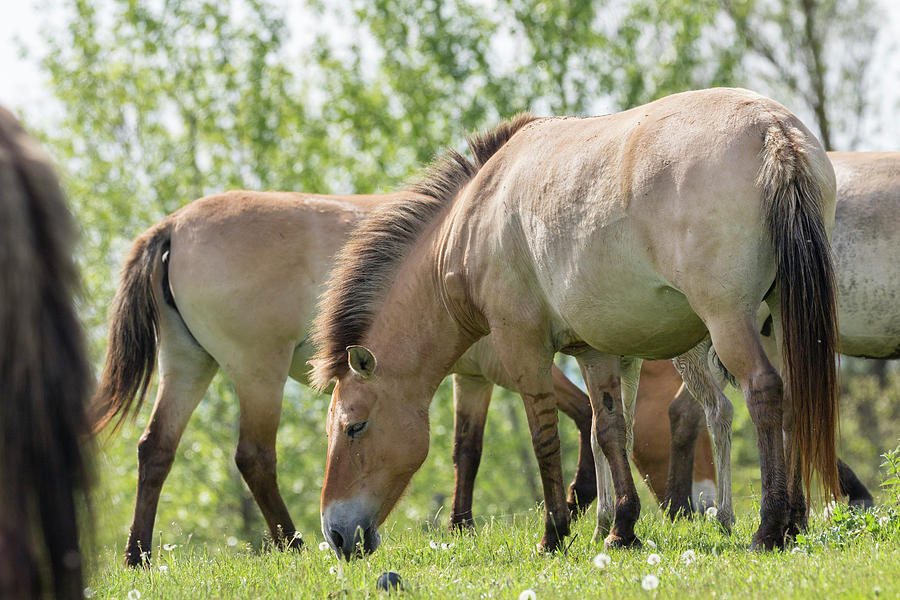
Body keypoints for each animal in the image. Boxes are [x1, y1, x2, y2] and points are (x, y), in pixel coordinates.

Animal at [91, 191, 596, 568]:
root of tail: (173, 225)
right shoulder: (509, 363)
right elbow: (584, 411)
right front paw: (577, 498)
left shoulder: (473, 378)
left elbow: (467, 449)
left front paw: (462, 527)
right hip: (257, 370)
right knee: (254, 456)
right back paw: (293, 544)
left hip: (188, 363)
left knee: (156, 449)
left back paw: (138, 556)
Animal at [312, 89, 840, 556]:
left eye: (354, 427)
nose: (335, 535)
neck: (477, 215)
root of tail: (772, 130)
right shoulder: (595, 350)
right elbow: (609, 430)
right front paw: (620, 529)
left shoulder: (523, 349)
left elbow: (544, 437)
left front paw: (554, 533)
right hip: (780, 323)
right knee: (792, 400)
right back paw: (794, 522)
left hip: (729, 322)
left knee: (763, 392)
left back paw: (769, 528)